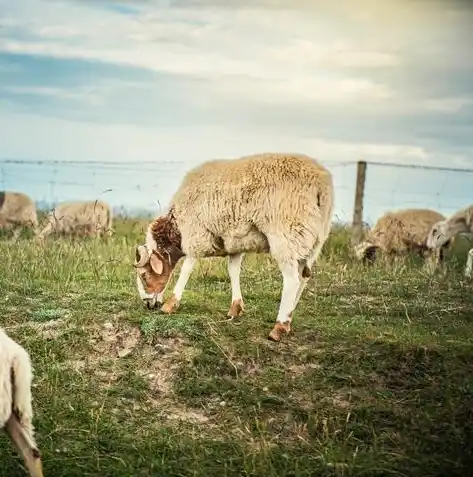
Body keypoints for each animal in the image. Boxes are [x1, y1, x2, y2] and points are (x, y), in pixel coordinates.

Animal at [133, 151, 334, 340]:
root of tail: (321, 185)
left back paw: (279, 326)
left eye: (144, 275)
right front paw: (235, 308)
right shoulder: (236, 243)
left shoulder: (196, 235)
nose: (147, 304)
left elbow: (186, 269)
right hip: (314, 239)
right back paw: (289, 319)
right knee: (304, 276)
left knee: (292, 280)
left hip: (286, 234)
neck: (176, 227)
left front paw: (170, 304)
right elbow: (233, 271)